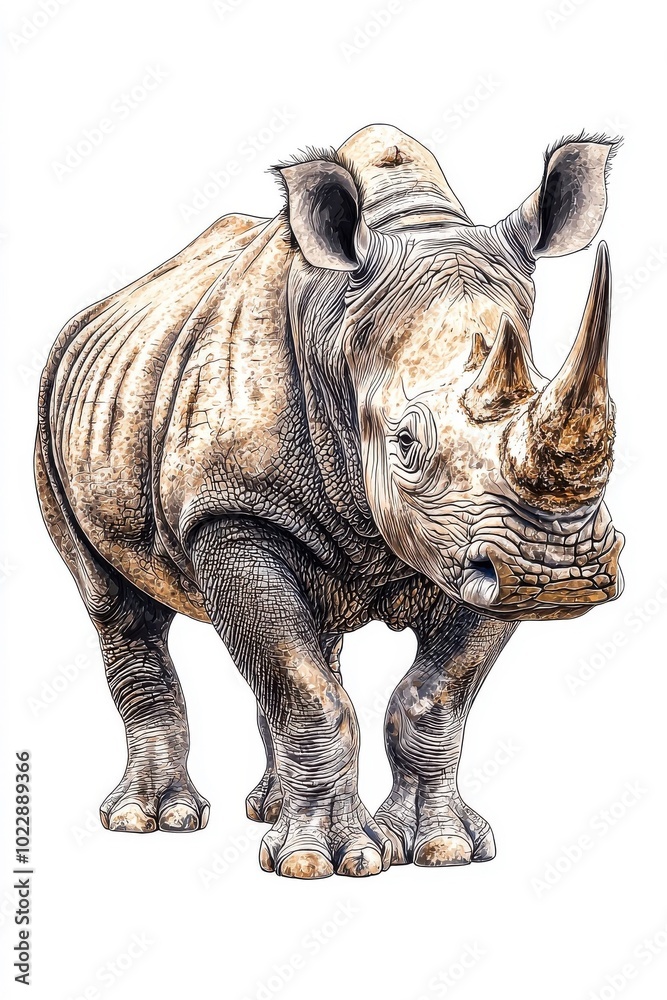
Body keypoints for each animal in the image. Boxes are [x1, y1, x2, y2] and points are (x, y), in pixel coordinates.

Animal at [36, 124, 624, 879]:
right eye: (405, 444)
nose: (560, 576)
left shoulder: (485, 542)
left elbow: (433, 693)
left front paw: (444, 849)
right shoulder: (231, 506)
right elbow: (305, 688)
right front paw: (325, 863)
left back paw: (268, 809)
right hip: (51, 401)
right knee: (120, 609)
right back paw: (151, 820)